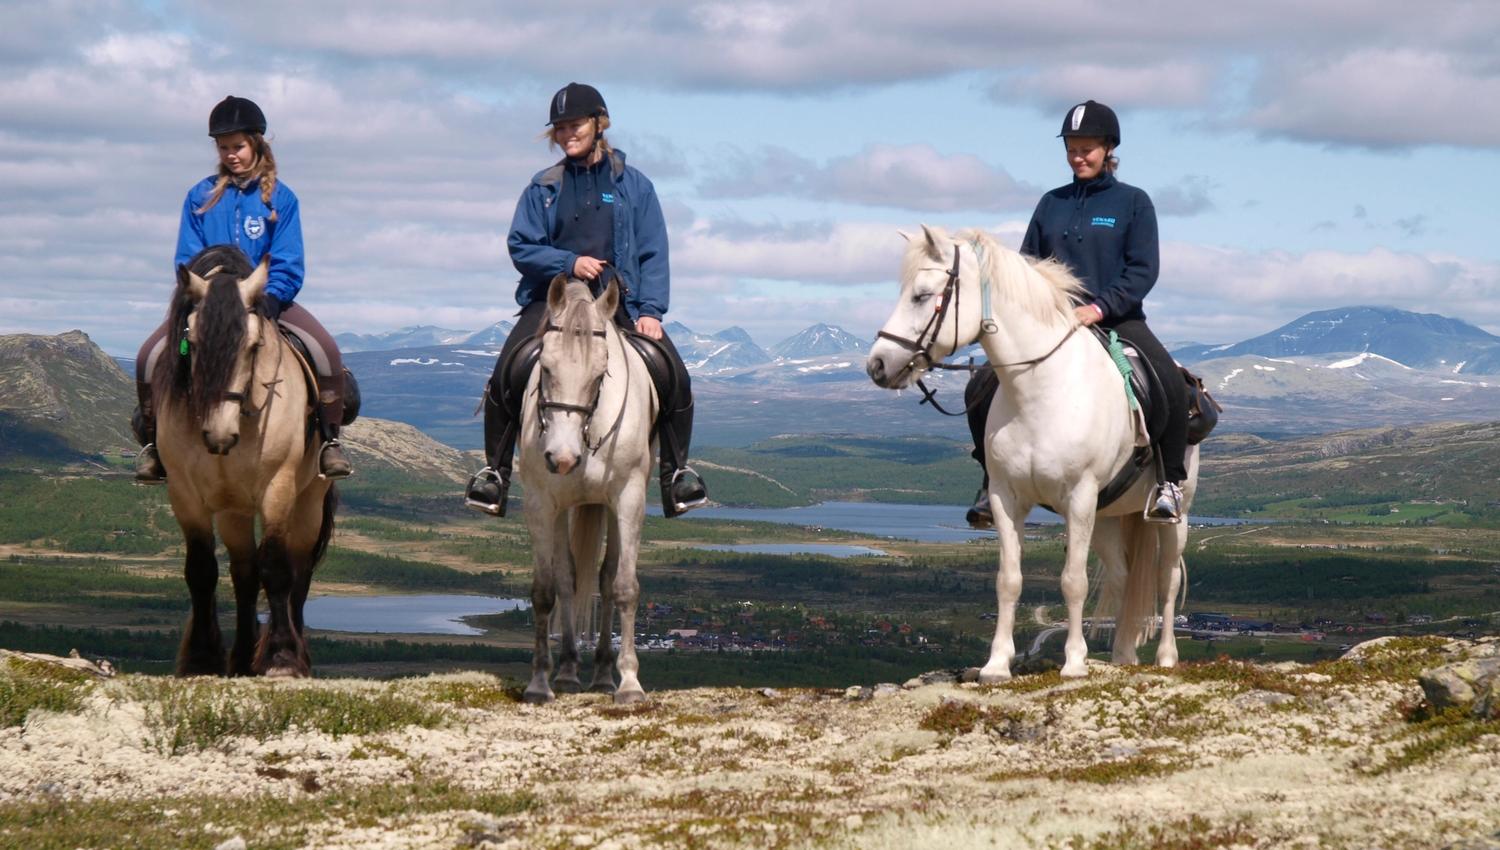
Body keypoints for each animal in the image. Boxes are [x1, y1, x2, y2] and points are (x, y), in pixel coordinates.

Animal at [151, 245, 336, 678]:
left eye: (254, 346)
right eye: (191, 342)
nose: (219, 435)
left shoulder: (278, 489)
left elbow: (277, 568)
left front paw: (281, 658)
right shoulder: (185, 495)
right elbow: (202, 571)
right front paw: (202, 658)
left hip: (309, 501)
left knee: (299, 574)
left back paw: (294, 654)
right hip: (232, 510)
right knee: (244, 574)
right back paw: (241, 658)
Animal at [517, 275, 658, 705]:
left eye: (601, 375)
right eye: (545, 369)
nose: (562, 459)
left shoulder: (629, 498)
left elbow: (624, 587)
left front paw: (629, 683)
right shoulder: (540, 503)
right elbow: (545, 589)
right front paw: (539, 682)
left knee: (607, 579)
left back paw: (601, 675)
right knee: (568, 577)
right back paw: (566, 672)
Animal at [866, 225, 1199, 681]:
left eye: (921, 295)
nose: (877, 365)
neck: (1041, 390)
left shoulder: (1079, 498)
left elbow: (1073, 580)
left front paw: (1074, 663)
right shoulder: (1007, 498)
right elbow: (1009, 579)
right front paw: (996, 665)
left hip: (1173, 513)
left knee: (1166, 579)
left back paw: (1165, 657)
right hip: (1108, 515)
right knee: (1122, 576)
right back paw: (1122, 656)